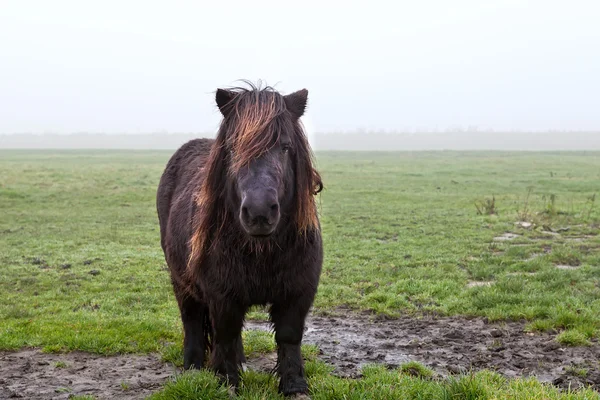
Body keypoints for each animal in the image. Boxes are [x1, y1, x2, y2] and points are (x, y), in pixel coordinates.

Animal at [155, 81, 324, 396]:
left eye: (285, 147)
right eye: (234, 148)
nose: (259, 211)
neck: (262, 251)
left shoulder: (298, 292)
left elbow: (289, 337)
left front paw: (295, 386)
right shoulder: (222, 295)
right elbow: (224, 335)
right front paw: (227, 383)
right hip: (181, 281)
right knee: (192, 320)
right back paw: (193, 368)